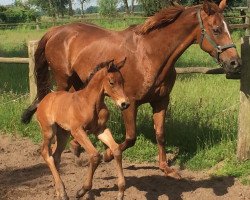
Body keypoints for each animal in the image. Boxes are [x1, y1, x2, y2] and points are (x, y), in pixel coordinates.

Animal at [23, 59, 129, 200]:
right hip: (49, 131)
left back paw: (58, 191)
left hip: (63, 134)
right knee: (46, 153)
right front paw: (82, 191)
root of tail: (42, 101)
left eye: (123, 81)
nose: (125, 104)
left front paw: (121, 192)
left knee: (56, 156)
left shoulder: (100, 129)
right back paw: (62, 192)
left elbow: (116, 149)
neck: (90, 103)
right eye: (111, 82)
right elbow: (95, 156)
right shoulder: (77, 131)